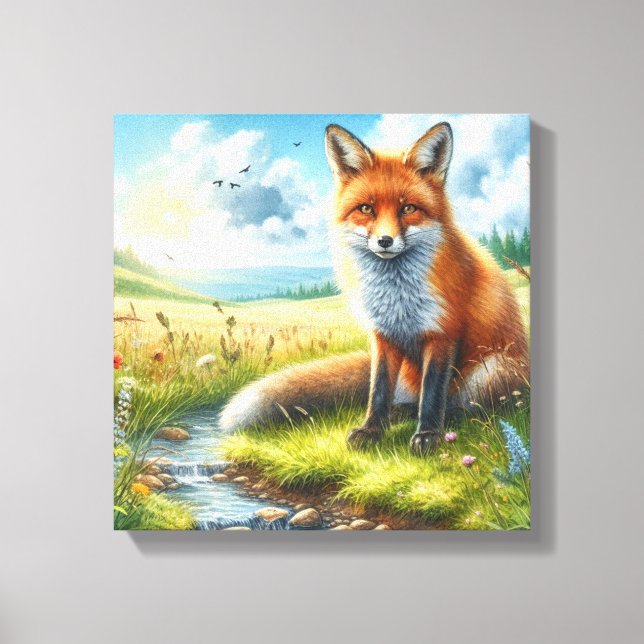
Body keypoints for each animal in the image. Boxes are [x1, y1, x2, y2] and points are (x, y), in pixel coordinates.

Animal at [219, 122, 529, 455]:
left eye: (408, 208)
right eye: (366, 208)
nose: (385, 241)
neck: (397, 296)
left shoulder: (443, 331)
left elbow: (433, 394)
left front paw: (428, 435)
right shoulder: (383, 336)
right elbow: (378, 390)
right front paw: (372, 430)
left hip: (493, 369)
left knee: (481, 407)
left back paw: (450, 417)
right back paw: (402, 412)